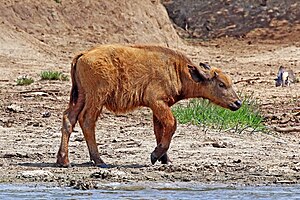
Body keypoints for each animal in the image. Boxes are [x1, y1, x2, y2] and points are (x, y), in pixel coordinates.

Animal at [56, 44, 241, 168]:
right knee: (87, 121)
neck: (178, 71)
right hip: (96, 99)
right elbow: (171, 124)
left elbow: (160, 129)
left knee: (69, 118)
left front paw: (165, 159)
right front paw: (155, 156)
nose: (238, 103)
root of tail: (84, 54)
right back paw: (100, 161)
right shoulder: (157, 102)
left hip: (81, 97)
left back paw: (63, 160)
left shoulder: (159, 107)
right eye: (221, 84)